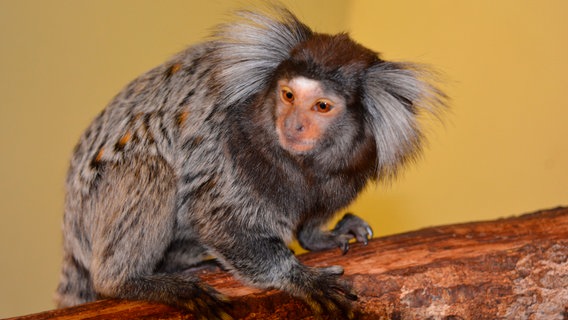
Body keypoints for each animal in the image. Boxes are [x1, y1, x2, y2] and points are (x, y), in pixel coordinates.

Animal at [55, 3, 446, 318]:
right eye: (288, 96)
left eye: (322, 106)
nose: (293, 125)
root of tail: (71, 233)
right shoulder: (226, 151)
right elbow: (217, 220)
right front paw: (297, 276)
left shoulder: (346, 172)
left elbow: (313, 217)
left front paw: (322, 235)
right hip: (95, 207)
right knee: (150, 169)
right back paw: (138, 281)